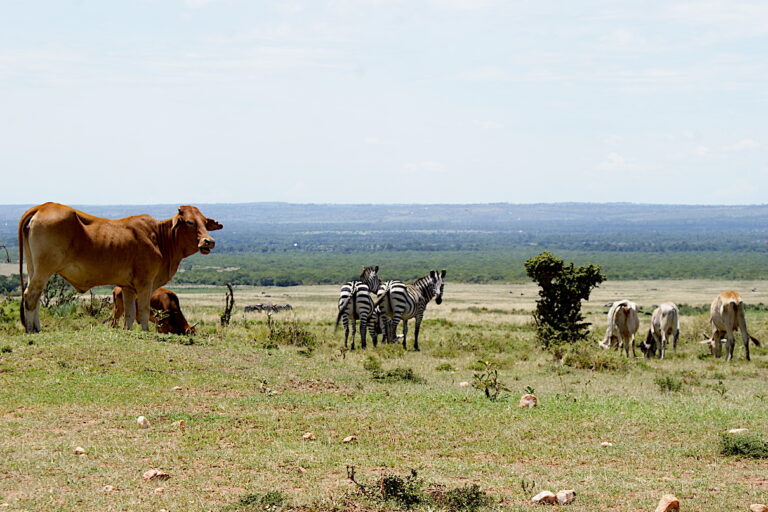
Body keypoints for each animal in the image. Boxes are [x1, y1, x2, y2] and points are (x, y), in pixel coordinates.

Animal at [18, 202, 220, 334]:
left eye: (205, 222)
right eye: (189, 222)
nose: (209, 241)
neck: (159, 238)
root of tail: (43, 206)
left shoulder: (128, 287)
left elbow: (130, 314)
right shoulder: (145, 283)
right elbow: (143, 311)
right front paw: (145, 332)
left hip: (33, 269)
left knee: (34, 296)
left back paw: (37, 327)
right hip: (44, 270)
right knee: (31, 295)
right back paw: (31, 330)